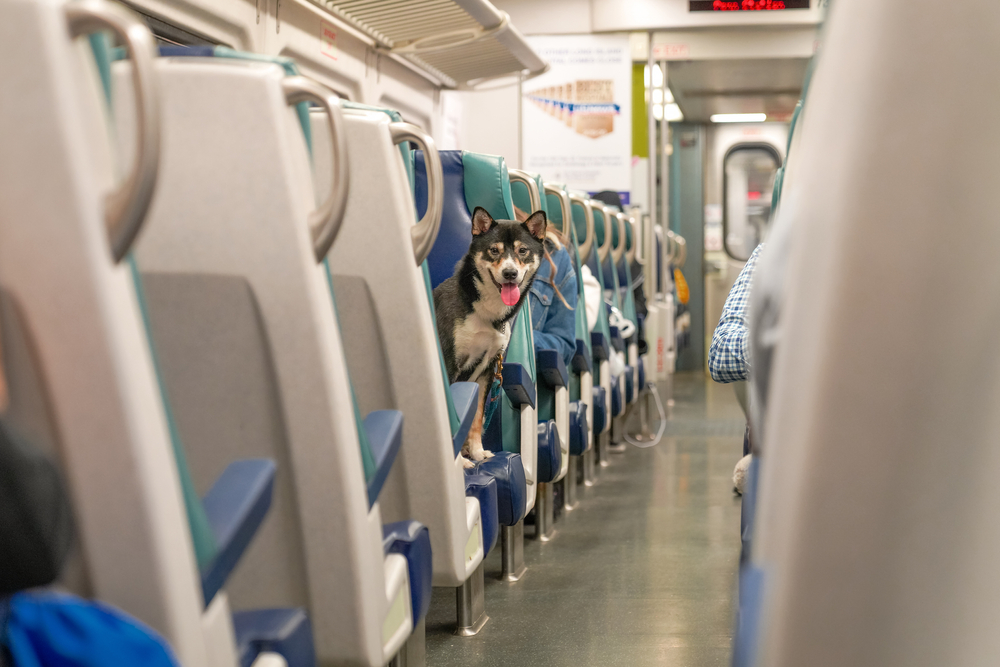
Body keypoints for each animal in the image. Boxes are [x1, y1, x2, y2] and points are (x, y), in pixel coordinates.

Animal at [436, 206, 548, 468]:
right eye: (493, 250)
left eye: (522, 250)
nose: (510, 273)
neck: (482, 312)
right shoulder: (450, 364)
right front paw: (462, 463)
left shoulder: (487, 369)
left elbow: (476, 417)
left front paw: (477, 453)